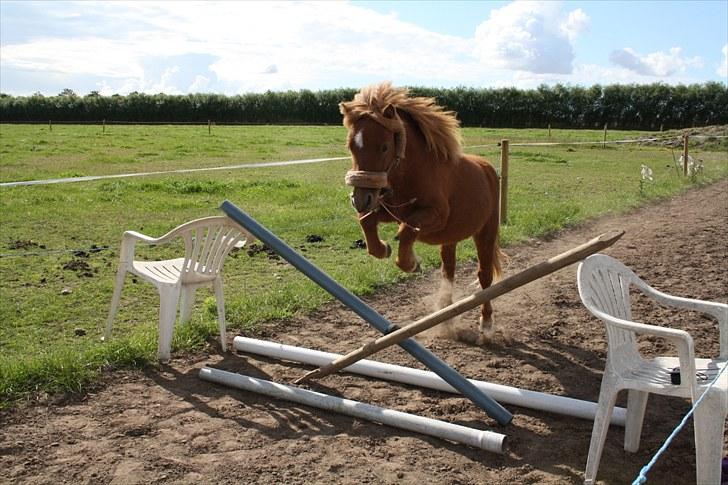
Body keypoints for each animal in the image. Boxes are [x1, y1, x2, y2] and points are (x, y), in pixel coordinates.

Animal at [340, 82, 500, 340]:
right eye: (352, 146)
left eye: (384, 147)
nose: (360, 199)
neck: (414, 171)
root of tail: (488, 170)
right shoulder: (388, 209)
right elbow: (367, 222)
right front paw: (383, 249)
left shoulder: (436, 216)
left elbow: (407, 231)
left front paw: (411, 263)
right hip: (450, 239)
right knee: (449, 271)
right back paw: (446, 316)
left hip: (485, 232)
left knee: (484, 276)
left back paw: (486, 324)